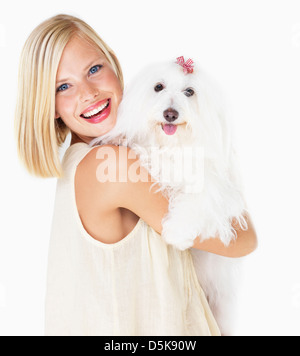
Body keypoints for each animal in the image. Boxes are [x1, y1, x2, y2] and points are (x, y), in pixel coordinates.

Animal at [90, 57, 247, 336]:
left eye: (189, 92)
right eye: (158, 87)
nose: (170, 114)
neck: (172, 146)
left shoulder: (216, 187)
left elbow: (199, 198)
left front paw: (177, 232)